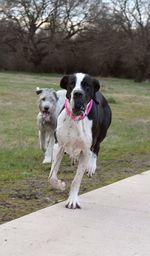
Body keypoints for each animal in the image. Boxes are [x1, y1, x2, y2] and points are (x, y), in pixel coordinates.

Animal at [48, 72, 110, 208]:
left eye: (86, 86)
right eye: (71, 84)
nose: (77, 93)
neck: (76, 118)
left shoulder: (86, 151)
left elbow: (76, 180)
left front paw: (72, 200)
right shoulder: (59, 145)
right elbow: (52, 176)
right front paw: (60, 185)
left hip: (102, 134)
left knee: (97, 147)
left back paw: (91, 167)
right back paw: (74, 157)